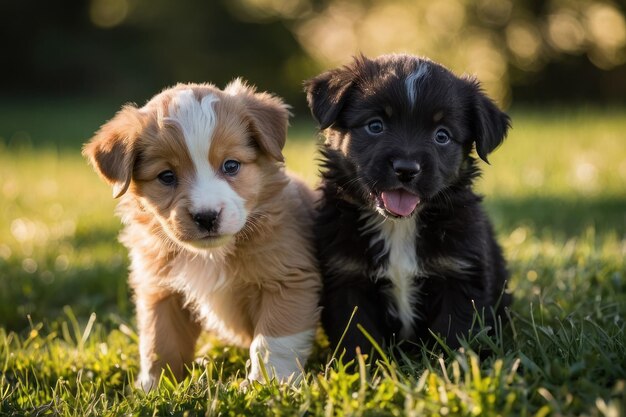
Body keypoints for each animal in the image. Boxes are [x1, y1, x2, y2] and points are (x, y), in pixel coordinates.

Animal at [82, 79, 320, 388]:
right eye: (166, 176)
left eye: (231, 165)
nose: (206, 217)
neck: (210, 256)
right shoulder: (161, 290)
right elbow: (160, 342)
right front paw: (156, 386)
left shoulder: (288, 280)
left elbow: (272, 343)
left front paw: (269, 385)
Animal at [304, 54, 512, 360]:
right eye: (375, 126)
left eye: (442, 135)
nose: (406, 169)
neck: (398, 226)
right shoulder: (346, 277)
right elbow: (357, 334)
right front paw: (362, 368)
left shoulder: (459, 274)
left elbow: (454, 333)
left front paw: (455, 366)